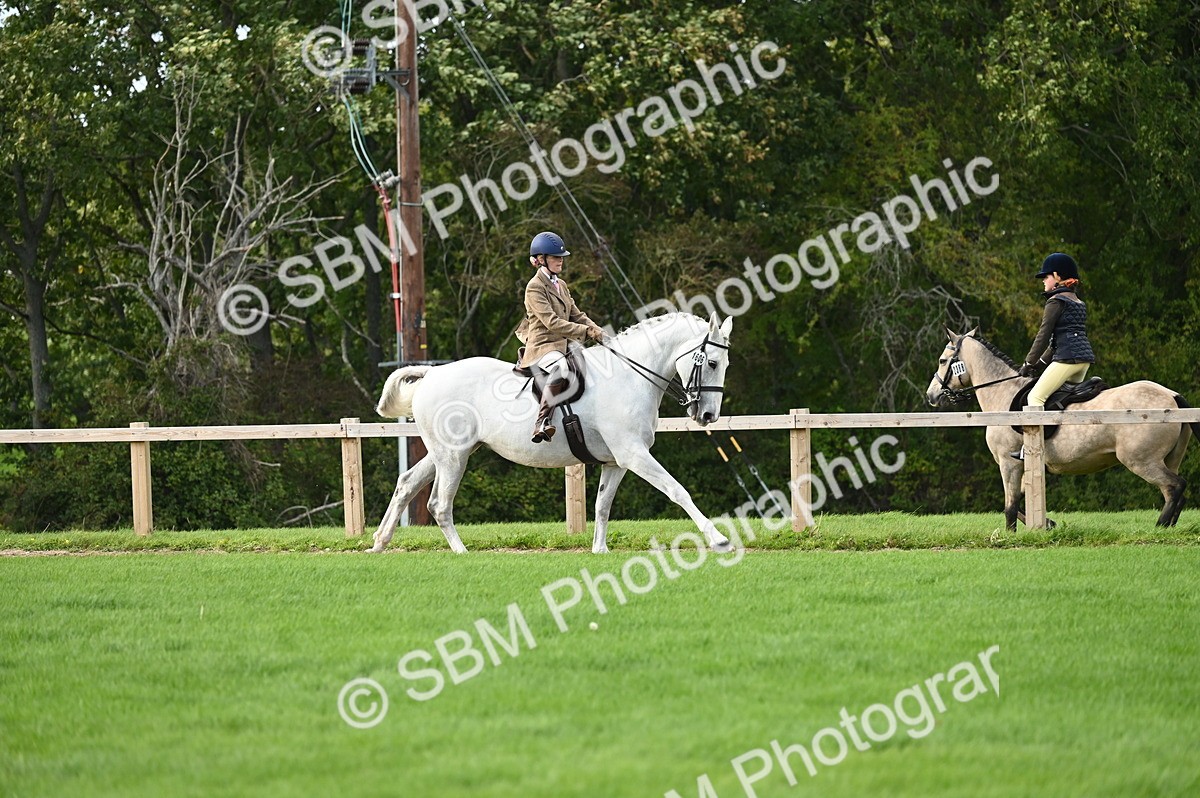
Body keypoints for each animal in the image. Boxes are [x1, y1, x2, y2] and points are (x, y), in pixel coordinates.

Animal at [369, 312, 736, 554]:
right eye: (712, 363)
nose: (708, 415)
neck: (629, 376)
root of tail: (432, 375)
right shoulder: (634, 454)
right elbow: (678, 491)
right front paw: (718, 539)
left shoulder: (616, 461)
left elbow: (602, 504)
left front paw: (599, 550)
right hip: (453, 456)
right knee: (439, 504)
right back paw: (461, 552)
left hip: (447, 452)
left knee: (407, 483)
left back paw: (379, 543)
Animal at [926, 328, 1198, 529]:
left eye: (942, 360)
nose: (931, 395)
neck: (1003, 394)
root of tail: (1171, 396)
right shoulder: (1026, 466)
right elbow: (1023, 502)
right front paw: (1047, 523)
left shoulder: (1009, 463)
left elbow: (1010, 506)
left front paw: (1011, 536)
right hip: (1168, 459)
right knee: (1176, 492)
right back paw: (1168, 527)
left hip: (1141, 461)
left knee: (1174, 487)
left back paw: (1160, 526)